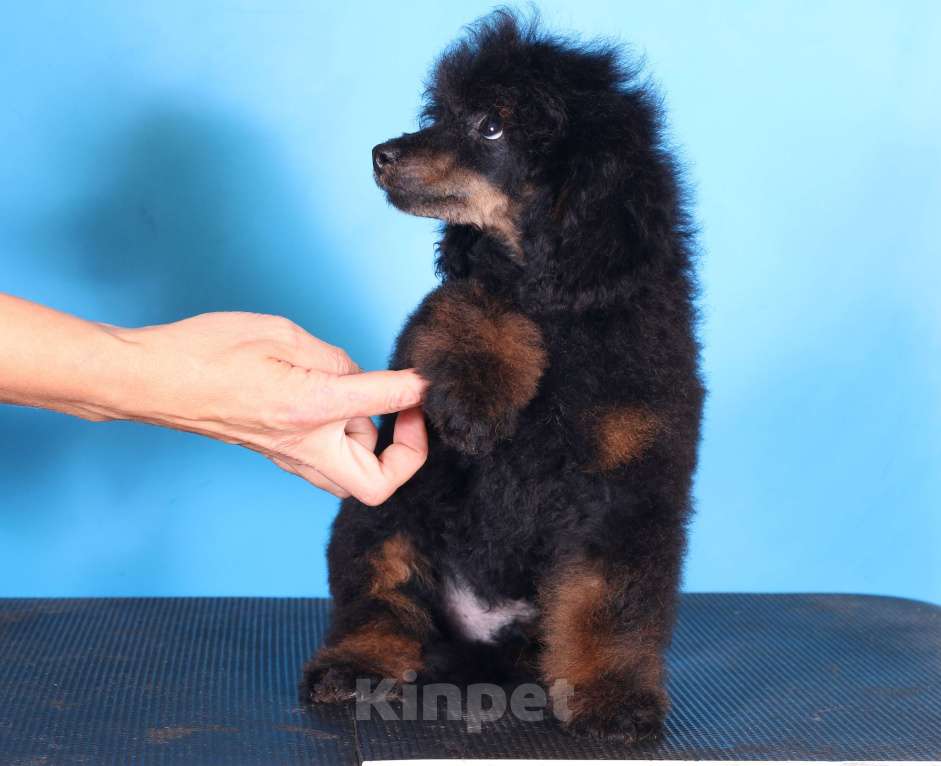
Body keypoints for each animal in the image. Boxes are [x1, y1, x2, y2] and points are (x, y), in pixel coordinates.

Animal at [298, 10, 700, 744]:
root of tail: (479, 637)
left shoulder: (624, 491)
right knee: (379, 601)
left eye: (491, 126)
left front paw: (611, 696)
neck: (563, 311)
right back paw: (355, 664)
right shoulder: (461, 299)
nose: (381, 154)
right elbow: (472, 304)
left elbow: (610, 602)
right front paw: (476, 399)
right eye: (440, 114)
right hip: (385, 514)